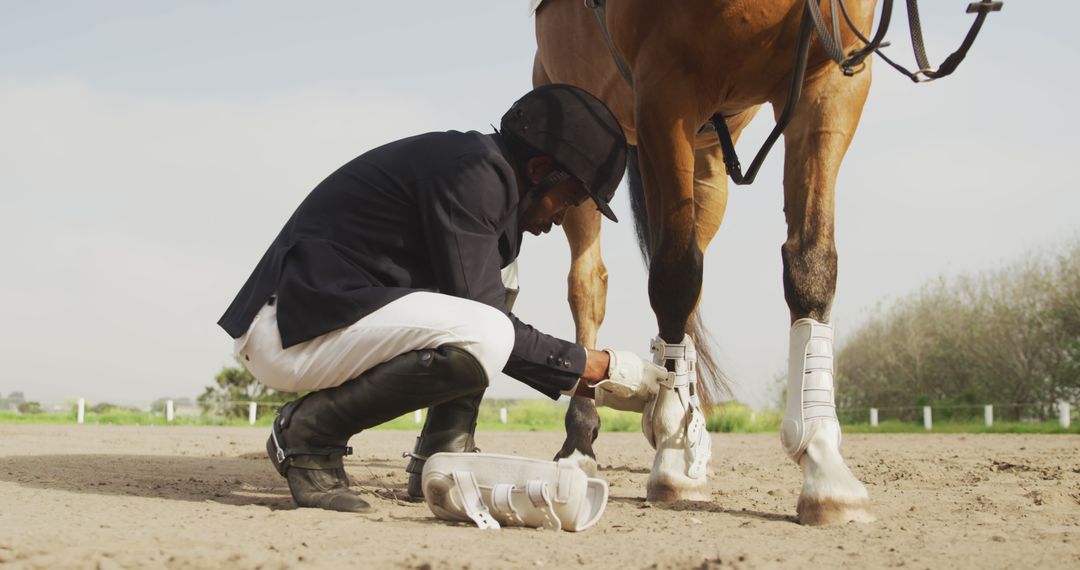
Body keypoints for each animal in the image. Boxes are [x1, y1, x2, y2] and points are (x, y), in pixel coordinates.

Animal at [531, 0, 876, 524]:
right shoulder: (666, 90)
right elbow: (674, 275)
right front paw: (674, 457)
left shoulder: (833, 80)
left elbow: (811, 260)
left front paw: (823, 464)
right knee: (589, 285)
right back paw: (581, 442)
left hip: (708, 154)